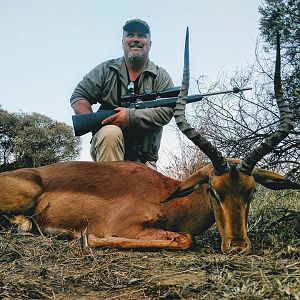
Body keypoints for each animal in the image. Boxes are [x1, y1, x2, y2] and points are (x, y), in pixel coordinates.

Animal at [0, 29, 298, 253]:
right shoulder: (126, 226)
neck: (171, 197)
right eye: (214, 190)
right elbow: (185, 238)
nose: (237, 246)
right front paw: (87, 238)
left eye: (252, 191)